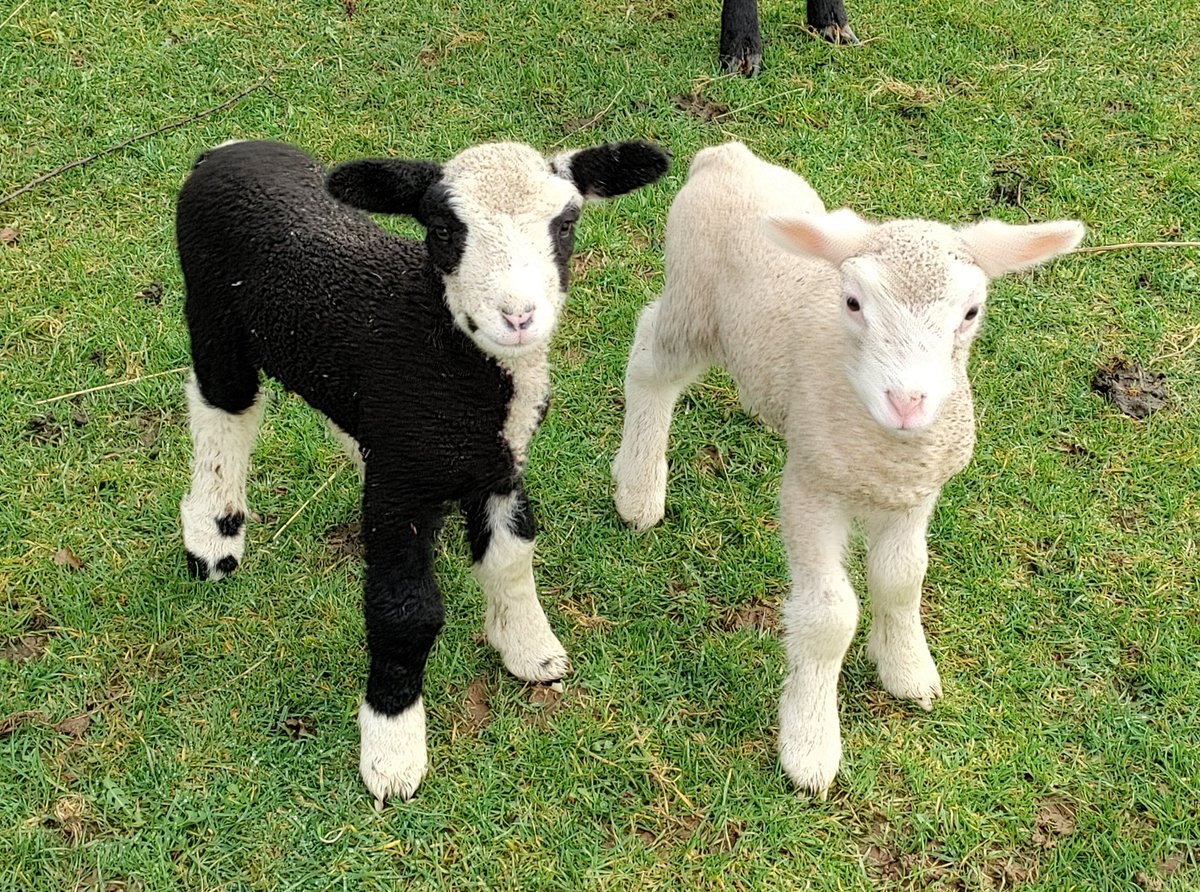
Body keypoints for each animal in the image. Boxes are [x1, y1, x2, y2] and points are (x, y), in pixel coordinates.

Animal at [176, 137, 669, 807]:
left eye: (565, 225)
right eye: (442, 230)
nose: (518, 317)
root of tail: (226, 150)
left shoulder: (497, 464)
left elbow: (512, 555)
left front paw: (529, 649)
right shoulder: (401, 490)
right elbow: (404, 612)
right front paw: (392, 749)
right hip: (212, 314)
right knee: (223, 410)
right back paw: (213, 537)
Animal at [611, 141, 1083, 795]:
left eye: (971, 312)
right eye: (854, 303)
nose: (908, 401)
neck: (883, 452)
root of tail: (725, 157)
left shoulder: (914, 493)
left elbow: (903, 578)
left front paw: (907, 667)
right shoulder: (812, 493)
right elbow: (830, 617)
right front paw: (810, 744)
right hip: (692, 301)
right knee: (650, 361)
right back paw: (638, 487)